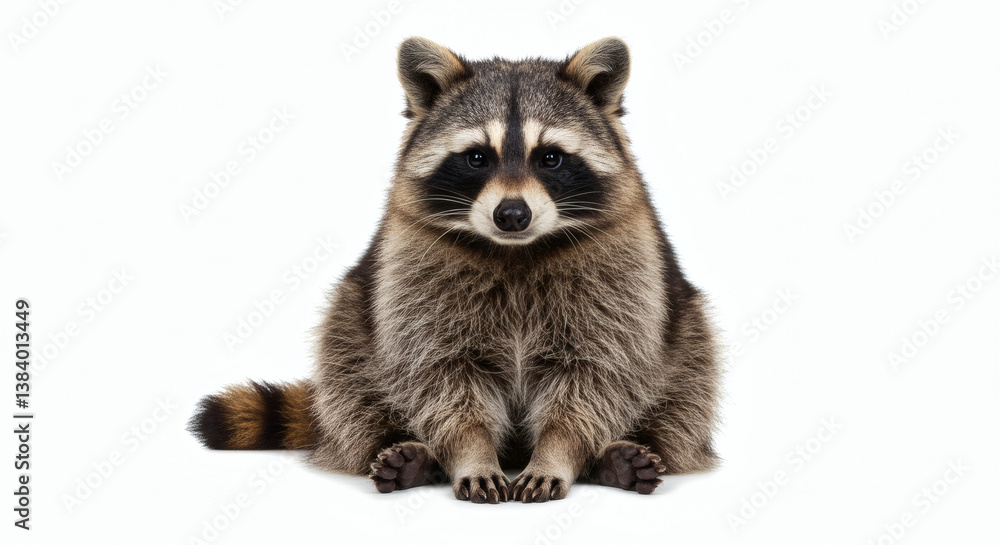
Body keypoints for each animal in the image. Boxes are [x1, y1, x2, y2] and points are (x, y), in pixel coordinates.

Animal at [190, 37, 722, 504]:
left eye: (550, 157)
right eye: (476, 158)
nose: (512, 214)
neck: (515, 251)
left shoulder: (623, 279)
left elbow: (596, 375)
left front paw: (559, 451)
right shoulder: (411, 273)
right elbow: (440, 377)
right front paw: (470, 451)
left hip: (683, 322)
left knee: (689, 386)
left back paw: (623, 455)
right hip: (356, 309)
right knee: (346, 373)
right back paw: (404, 451)